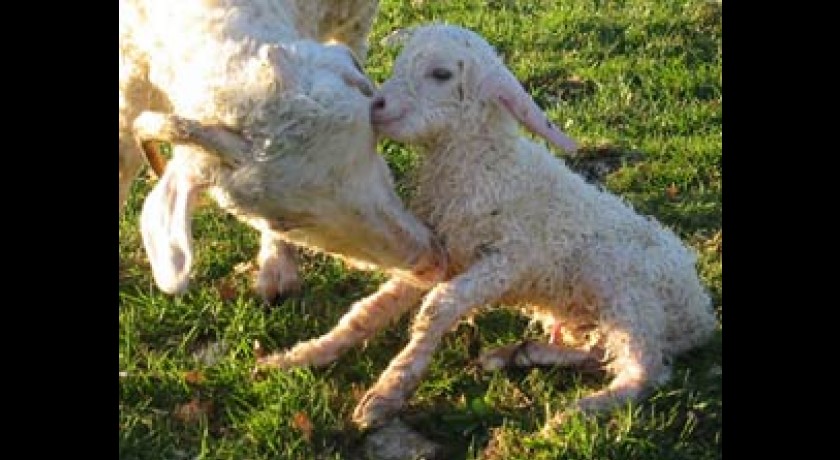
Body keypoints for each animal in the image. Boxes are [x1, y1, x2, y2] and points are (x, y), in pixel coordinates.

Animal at [260, 22, 720, 432]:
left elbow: (439, 307)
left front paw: (387, 394)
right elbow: (367, 312)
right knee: (600, 350)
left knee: (645, 369)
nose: (377, 106)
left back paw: (577, 412)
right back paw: (522, 354)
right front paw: (299, 357)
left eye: (442, 74)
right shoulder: (442, 253)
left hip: (629, 292)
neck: (484, 165)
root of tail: (701, 315)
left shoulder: (510, 258)